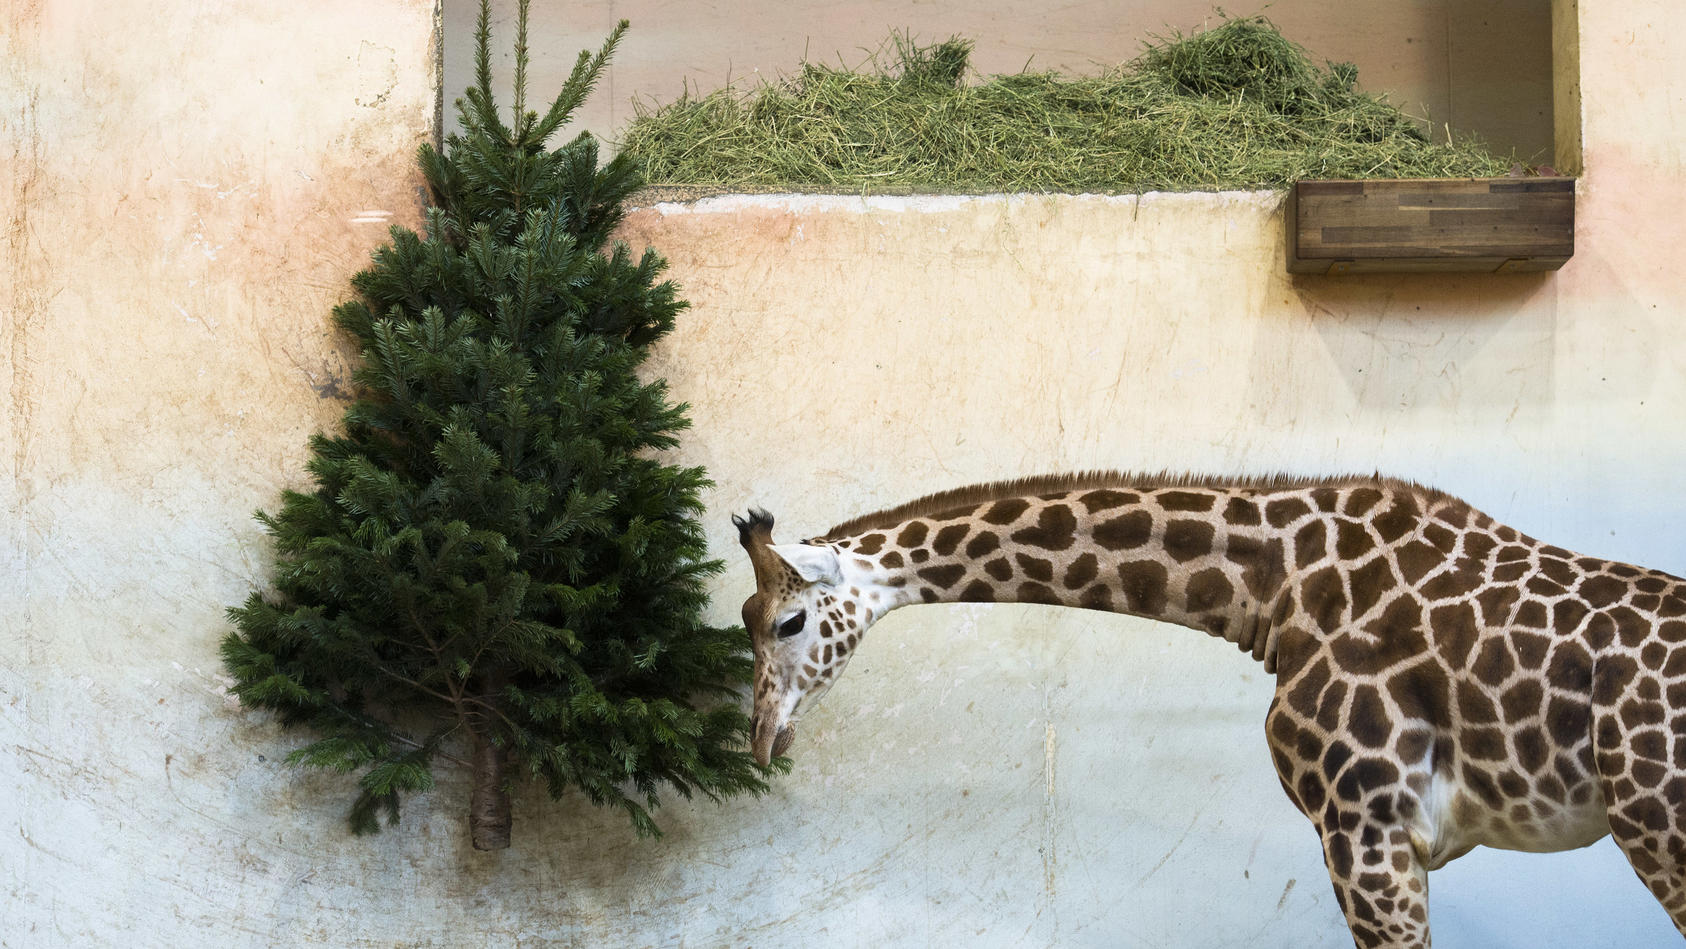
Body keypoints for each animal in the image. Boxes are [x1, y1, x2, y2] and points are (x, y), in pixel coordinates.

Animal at [731, 475, 1686, 949]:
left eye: (787, 620)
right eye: (742, 617)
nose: (761, 742)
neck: (1281, 586)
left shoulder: (1367, 827)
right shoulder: (1381, 841)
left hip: (1656, 826)